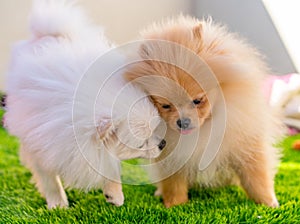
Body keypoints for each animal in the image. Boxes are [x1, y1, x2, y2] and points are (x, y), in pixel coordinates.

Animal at [4, 1, 164, 208]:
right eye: (140, 144)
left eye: (156, 128)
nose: (163, 143)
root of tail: (48, 34)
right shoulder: (41, 146)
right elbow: (50, 181)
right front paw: (58, 204)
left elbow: (107, 163)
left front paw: (114, 194)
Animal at [125, 16, 284, 208]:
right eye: (165, 105)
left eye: (197, 101)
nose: (183, 122)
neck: (204, 130)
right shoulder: (171, 157)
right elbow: (173, 184)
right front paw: (174, 205)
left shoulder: (245, 143)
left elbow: (256, 177)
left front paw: (269, 203)